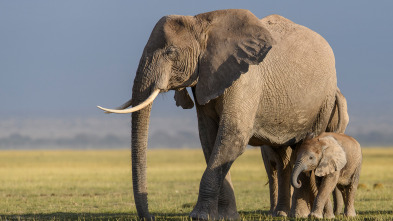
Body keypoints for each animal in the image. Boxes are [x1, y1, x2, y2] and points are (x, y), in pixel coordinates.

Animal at [98, 9, 340, 220]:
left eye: (170, 52)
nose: (150, 217)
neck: (202, 23)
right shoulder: (205, 79)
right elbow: (209, 138)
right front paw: (226, 217)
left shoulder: (245, 78)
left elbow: (232, 136)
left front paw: (198, 216)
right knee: (282, 155)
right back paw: (281, 213)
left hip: (324, 99)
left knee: (307, 142)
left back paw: (298, 214)